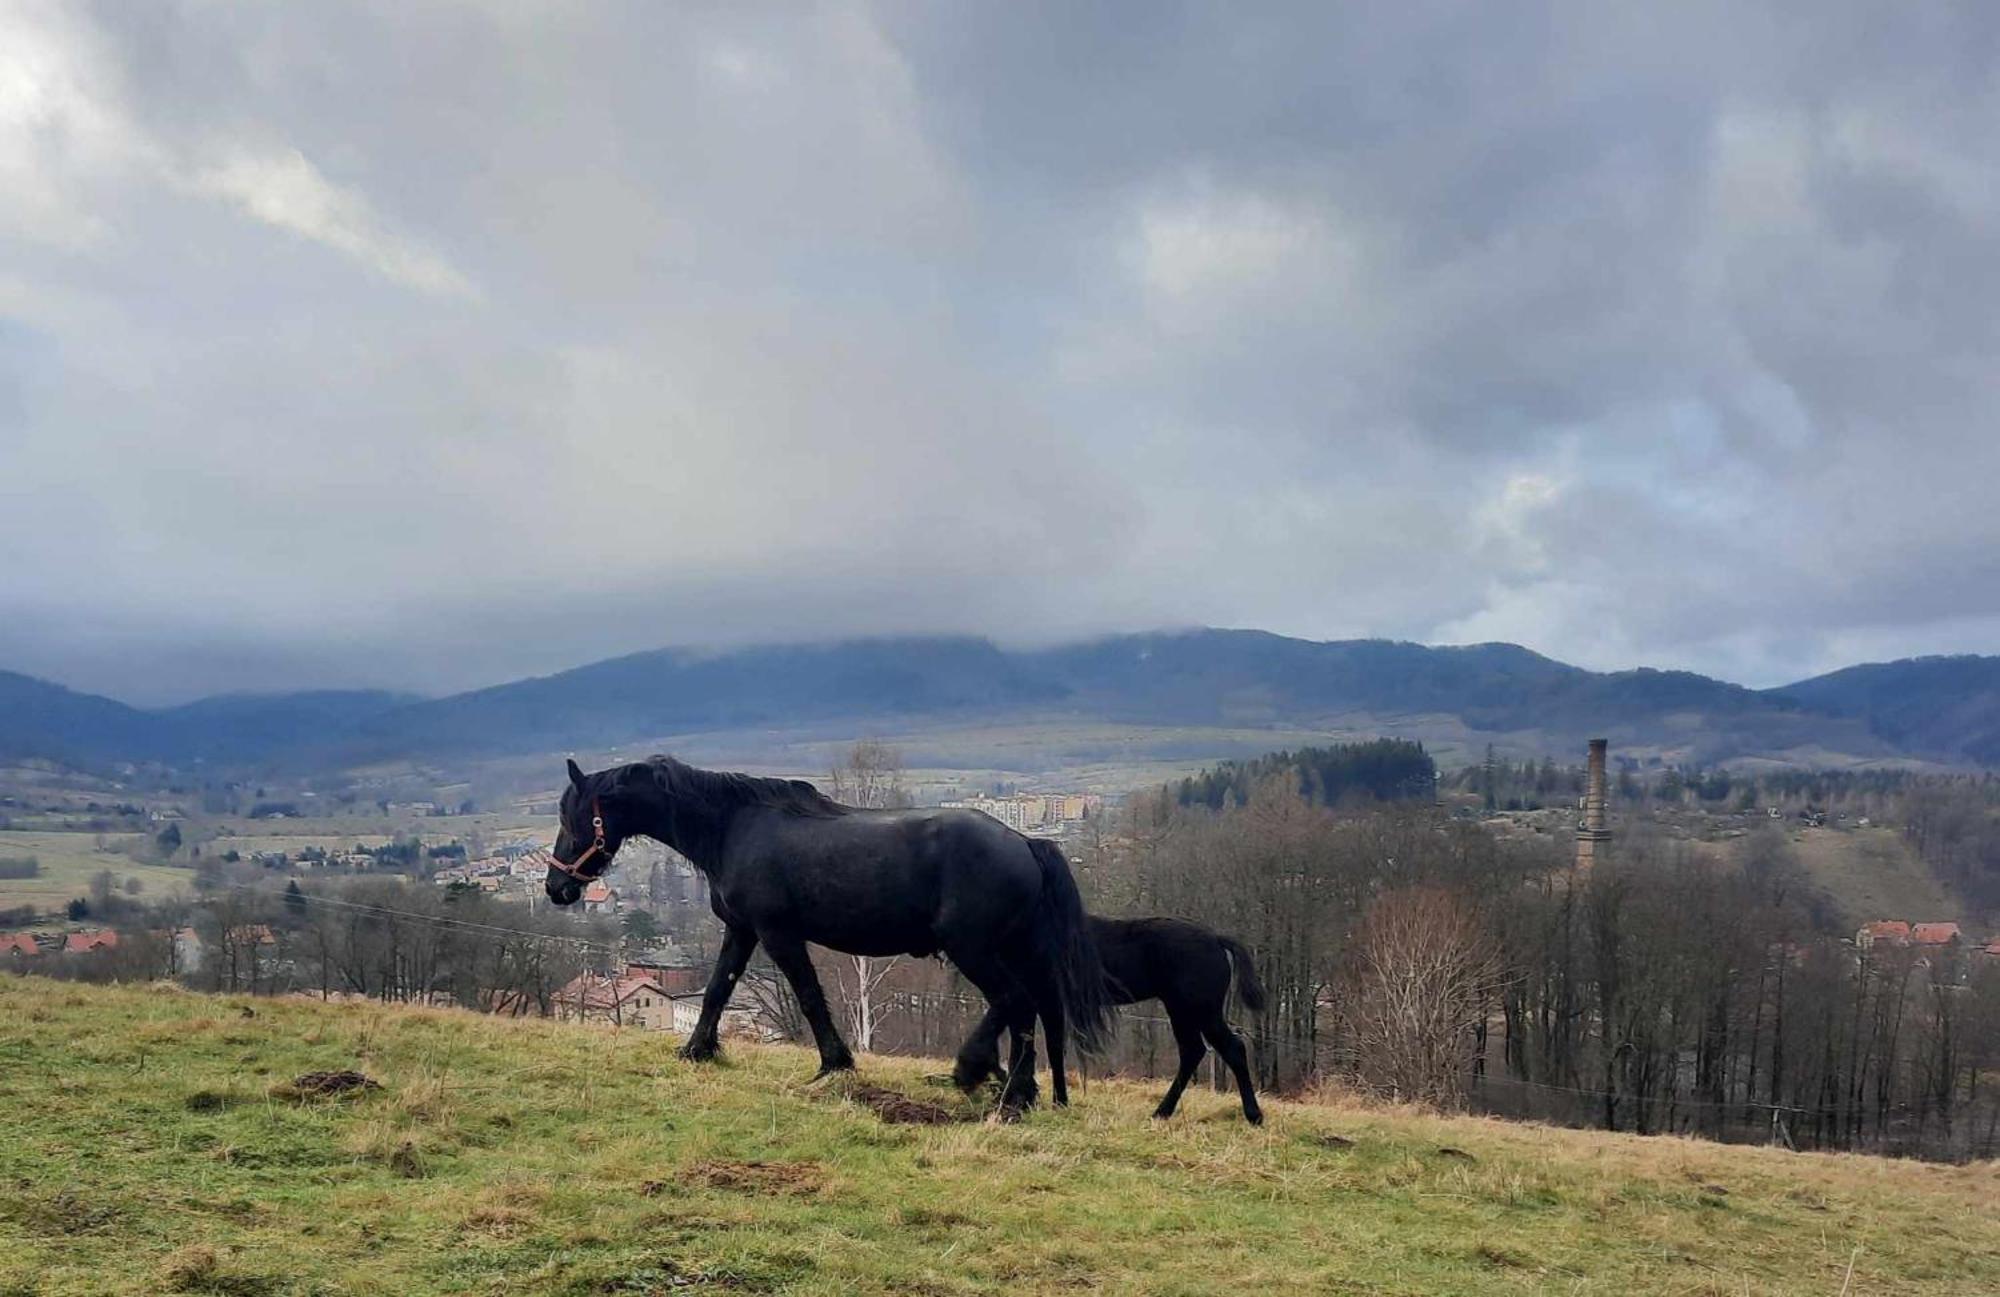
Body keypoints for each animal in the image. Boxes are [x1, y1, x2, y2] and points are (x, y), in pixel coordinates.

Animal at [544, 760, 1112, 1112]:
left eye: (572, 816)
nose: (556, 887)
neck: (733, 828)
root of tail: (1026, 842)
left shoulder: (778, 934)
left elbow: (809, 997)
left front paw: (834, 1063)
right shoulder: (742, 931)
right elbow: (716, 991)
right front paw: (696, 1050)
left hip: (971, 948)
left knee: (1013, 1001)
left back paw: (981, 1074)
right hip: (1008, 949)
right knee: (1029, 1009)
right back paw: (1020, 1090)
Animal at [956, 912, 1264, 1120]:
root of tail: (1217, 939)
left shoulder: (1047, 998)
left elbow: (1050, 1047)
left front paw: (1055, 1100)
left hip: (1200, 1009)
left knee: (1231, 1048)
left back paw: (1253, 1115)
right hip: (1181, 1010)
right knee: (1193, 1051)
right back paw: (1162, 1111)